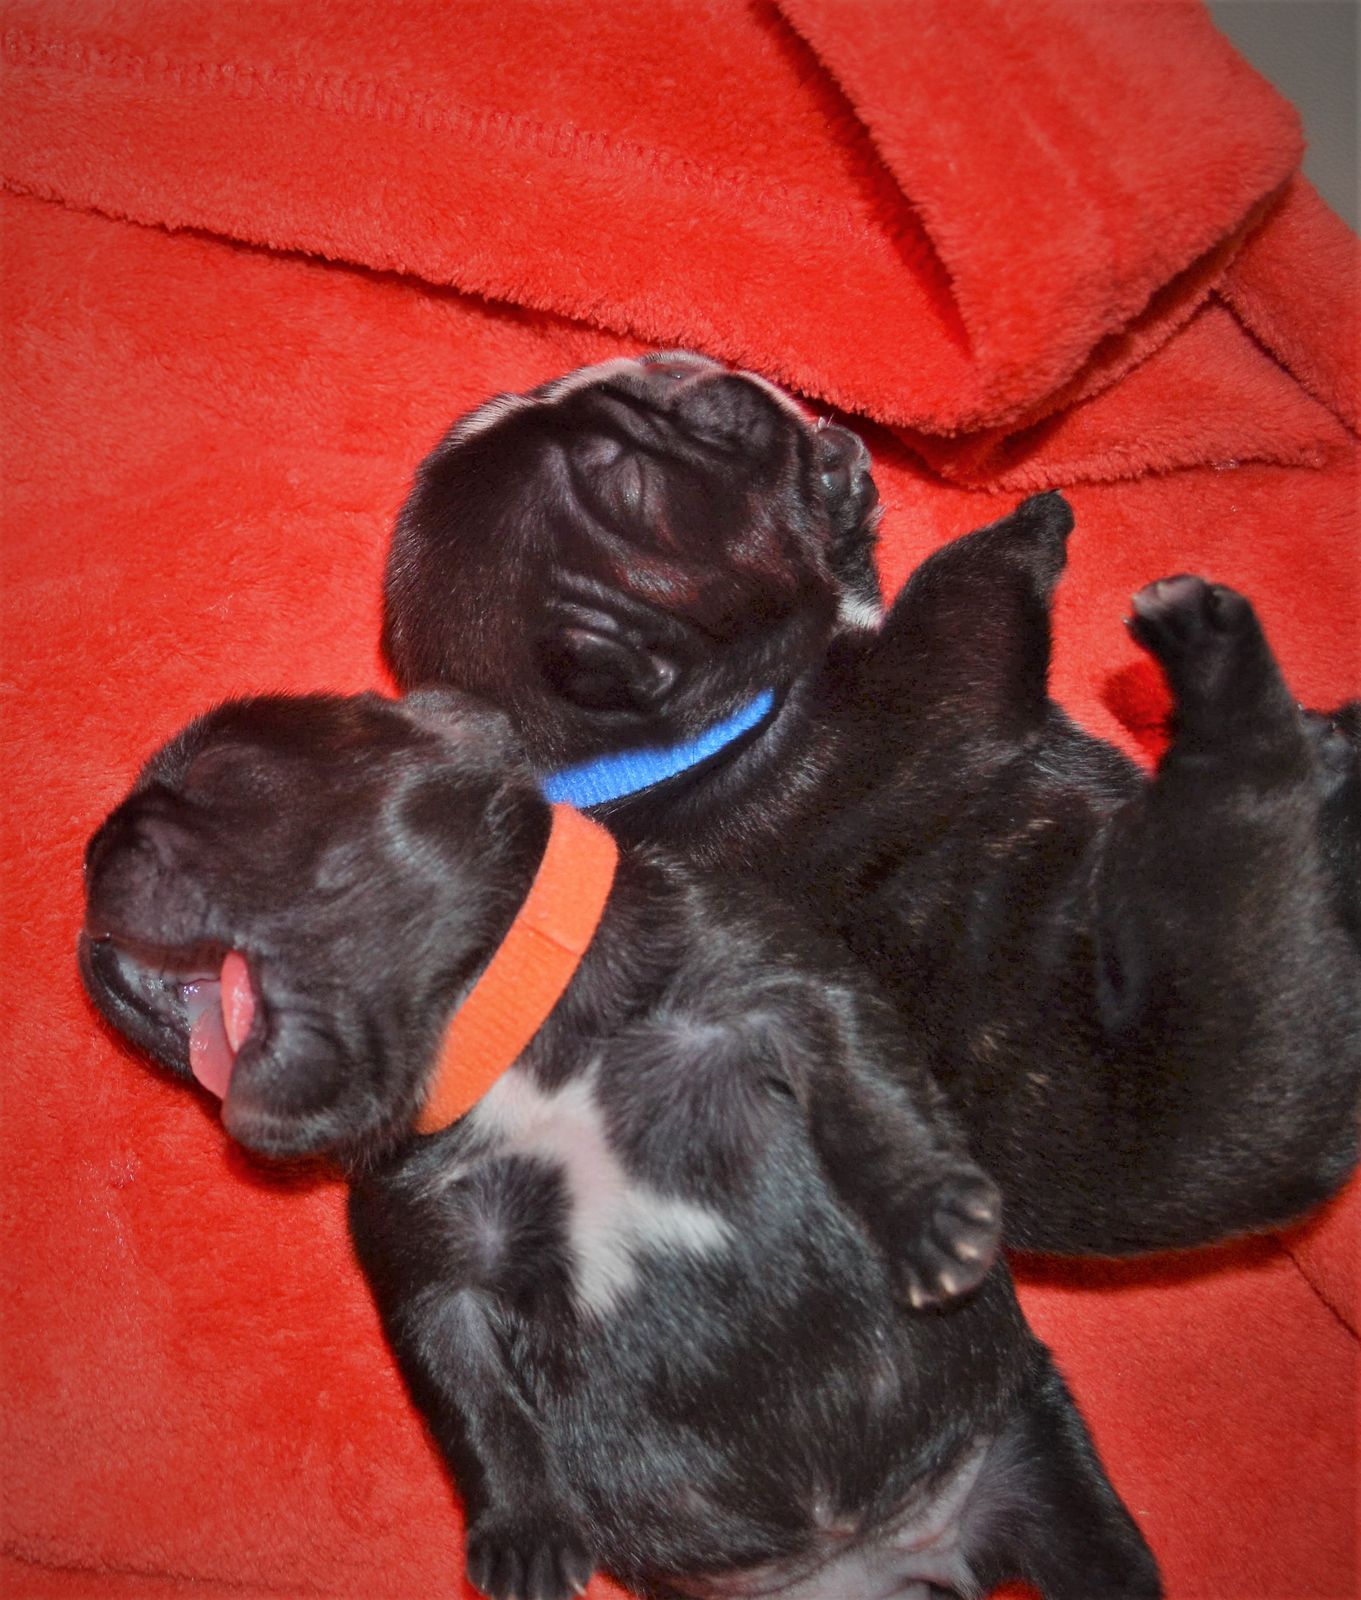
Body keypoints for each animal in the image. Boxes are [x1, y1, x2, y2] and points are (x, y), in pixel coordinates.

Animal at [79, 690, 1161, 1600]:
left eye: (217, 768)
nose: (89, 851)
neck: (506, 1047)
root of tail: (894, 1549)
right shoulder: (427, 1263)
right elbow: (472, 1406)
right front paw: (523, 1530)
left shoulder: (783, 986)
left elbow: (868, 1088)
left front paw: (929, 1214)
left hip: (1035, 1449)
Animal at [384, 351, 1361, 1256]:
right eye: (621, 480)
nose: (690, 371)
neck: (646, 753)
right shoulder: (936, 684)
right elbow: (964, 589)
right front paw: (1029, 523)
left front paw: (844, 491)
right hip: (1226, 932)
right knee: (1253, 787)